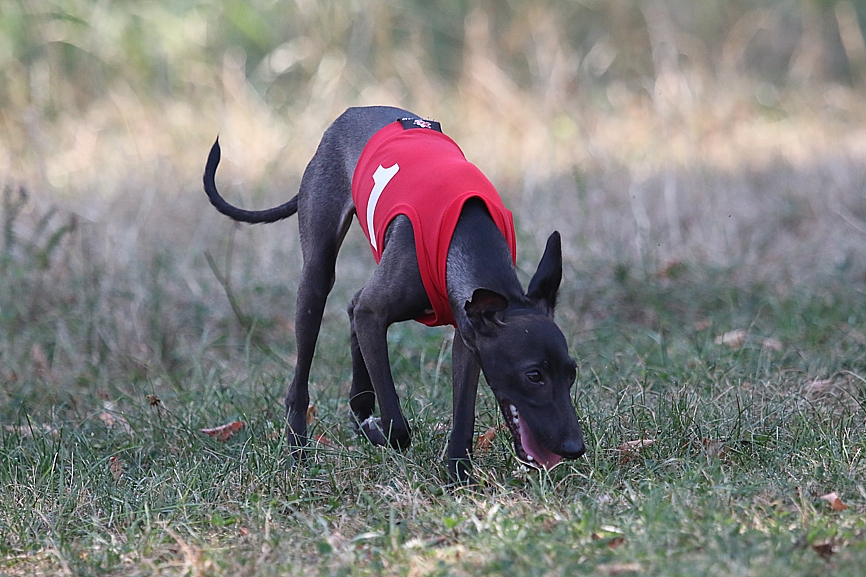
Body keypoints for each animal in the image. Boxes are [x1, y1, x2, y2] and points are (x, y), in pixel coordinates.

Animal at [202, 104, 580, 482]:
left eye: (572, 372)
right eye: (534, 375)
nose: (576, 447)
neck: (468, 237)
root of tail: (351, 113)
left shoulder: (468, 338)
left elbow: (464, 416)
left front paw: (459, 477)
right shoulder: (376, 316)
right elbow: (398, 426)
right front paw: (384, 436)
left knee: (353, 307)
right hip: (316, 278)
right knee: (302, 378)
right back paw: (301, 453)